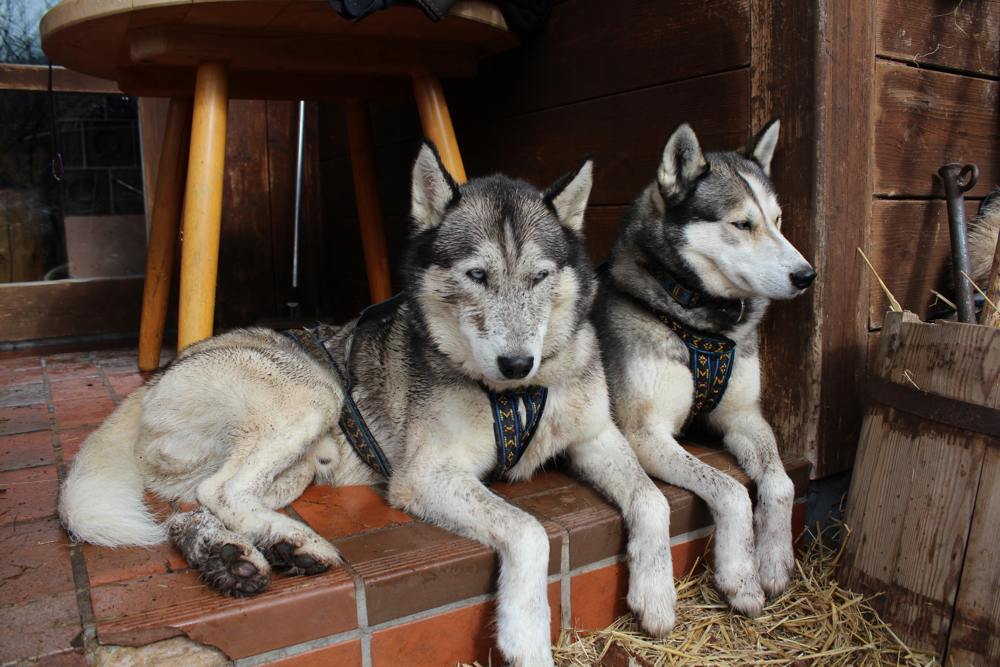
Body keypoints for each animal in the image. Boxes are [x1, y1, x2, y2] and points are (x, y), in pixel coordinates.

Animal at [58, 144, 676, 664]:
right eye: (477, 275)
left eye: (539, 277)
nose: (516, 362)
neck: (519, 396)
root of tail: (159, 375)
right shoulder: (425, 475)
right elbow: (529, 530)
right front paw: (525, 637)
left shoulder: (596, 436)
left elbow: (651, 499)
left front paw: (657, 594)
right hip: (316, 395)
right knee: (220, 491)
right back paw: (295, 542)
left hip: (293, 467)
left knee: (195, 508)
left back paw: (243, 555)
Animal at [592, 122, 812, 620]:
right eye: (741, 224)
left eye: (778, 220)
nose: (807, 275)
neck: (702, 321)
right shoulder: (645, 433)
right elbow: (731, 490)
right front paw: (741, 578)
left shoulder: (743, 415)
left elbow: (781, 483)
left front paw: (774, 562)